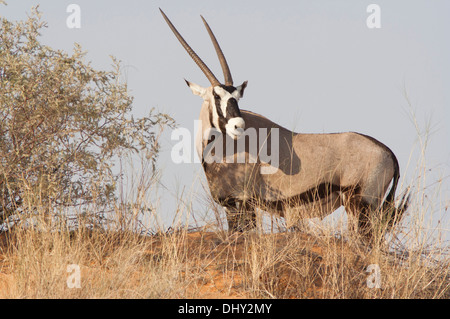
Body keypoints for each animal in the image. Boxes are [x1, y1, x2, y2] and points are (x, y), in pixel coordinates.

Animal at [161, 8, 408, 241]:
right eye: (216, 95)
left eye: (237, 97)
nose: (238, 125)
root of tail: (387, 151)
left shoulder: (241, 202)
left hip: (361, 204)